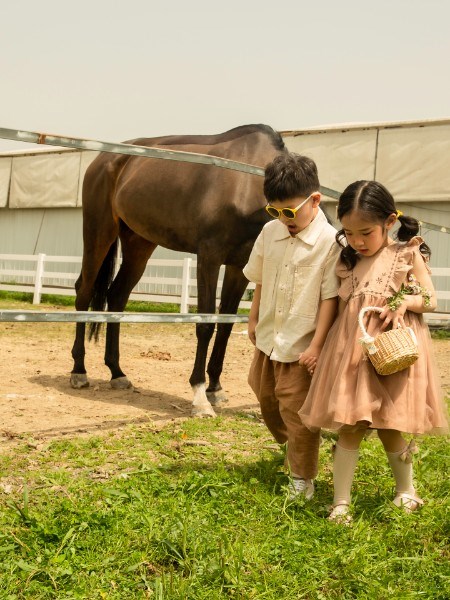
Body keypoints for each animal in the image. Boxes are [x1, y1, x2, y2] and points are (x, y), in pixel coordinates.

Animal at [70, 125, 288, 418]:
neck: (245, 184)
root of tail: (103, 160)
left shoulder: (240, 266)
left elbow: (226, 326)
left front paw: (215, 389)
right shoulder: (208, 258)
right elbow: (206, 325)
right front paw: (200, 396)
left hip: (139, 243)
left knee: (116, 296)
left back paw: (117, 373)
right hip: (99, 231)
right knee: (83, 291)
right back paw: (79, 371)